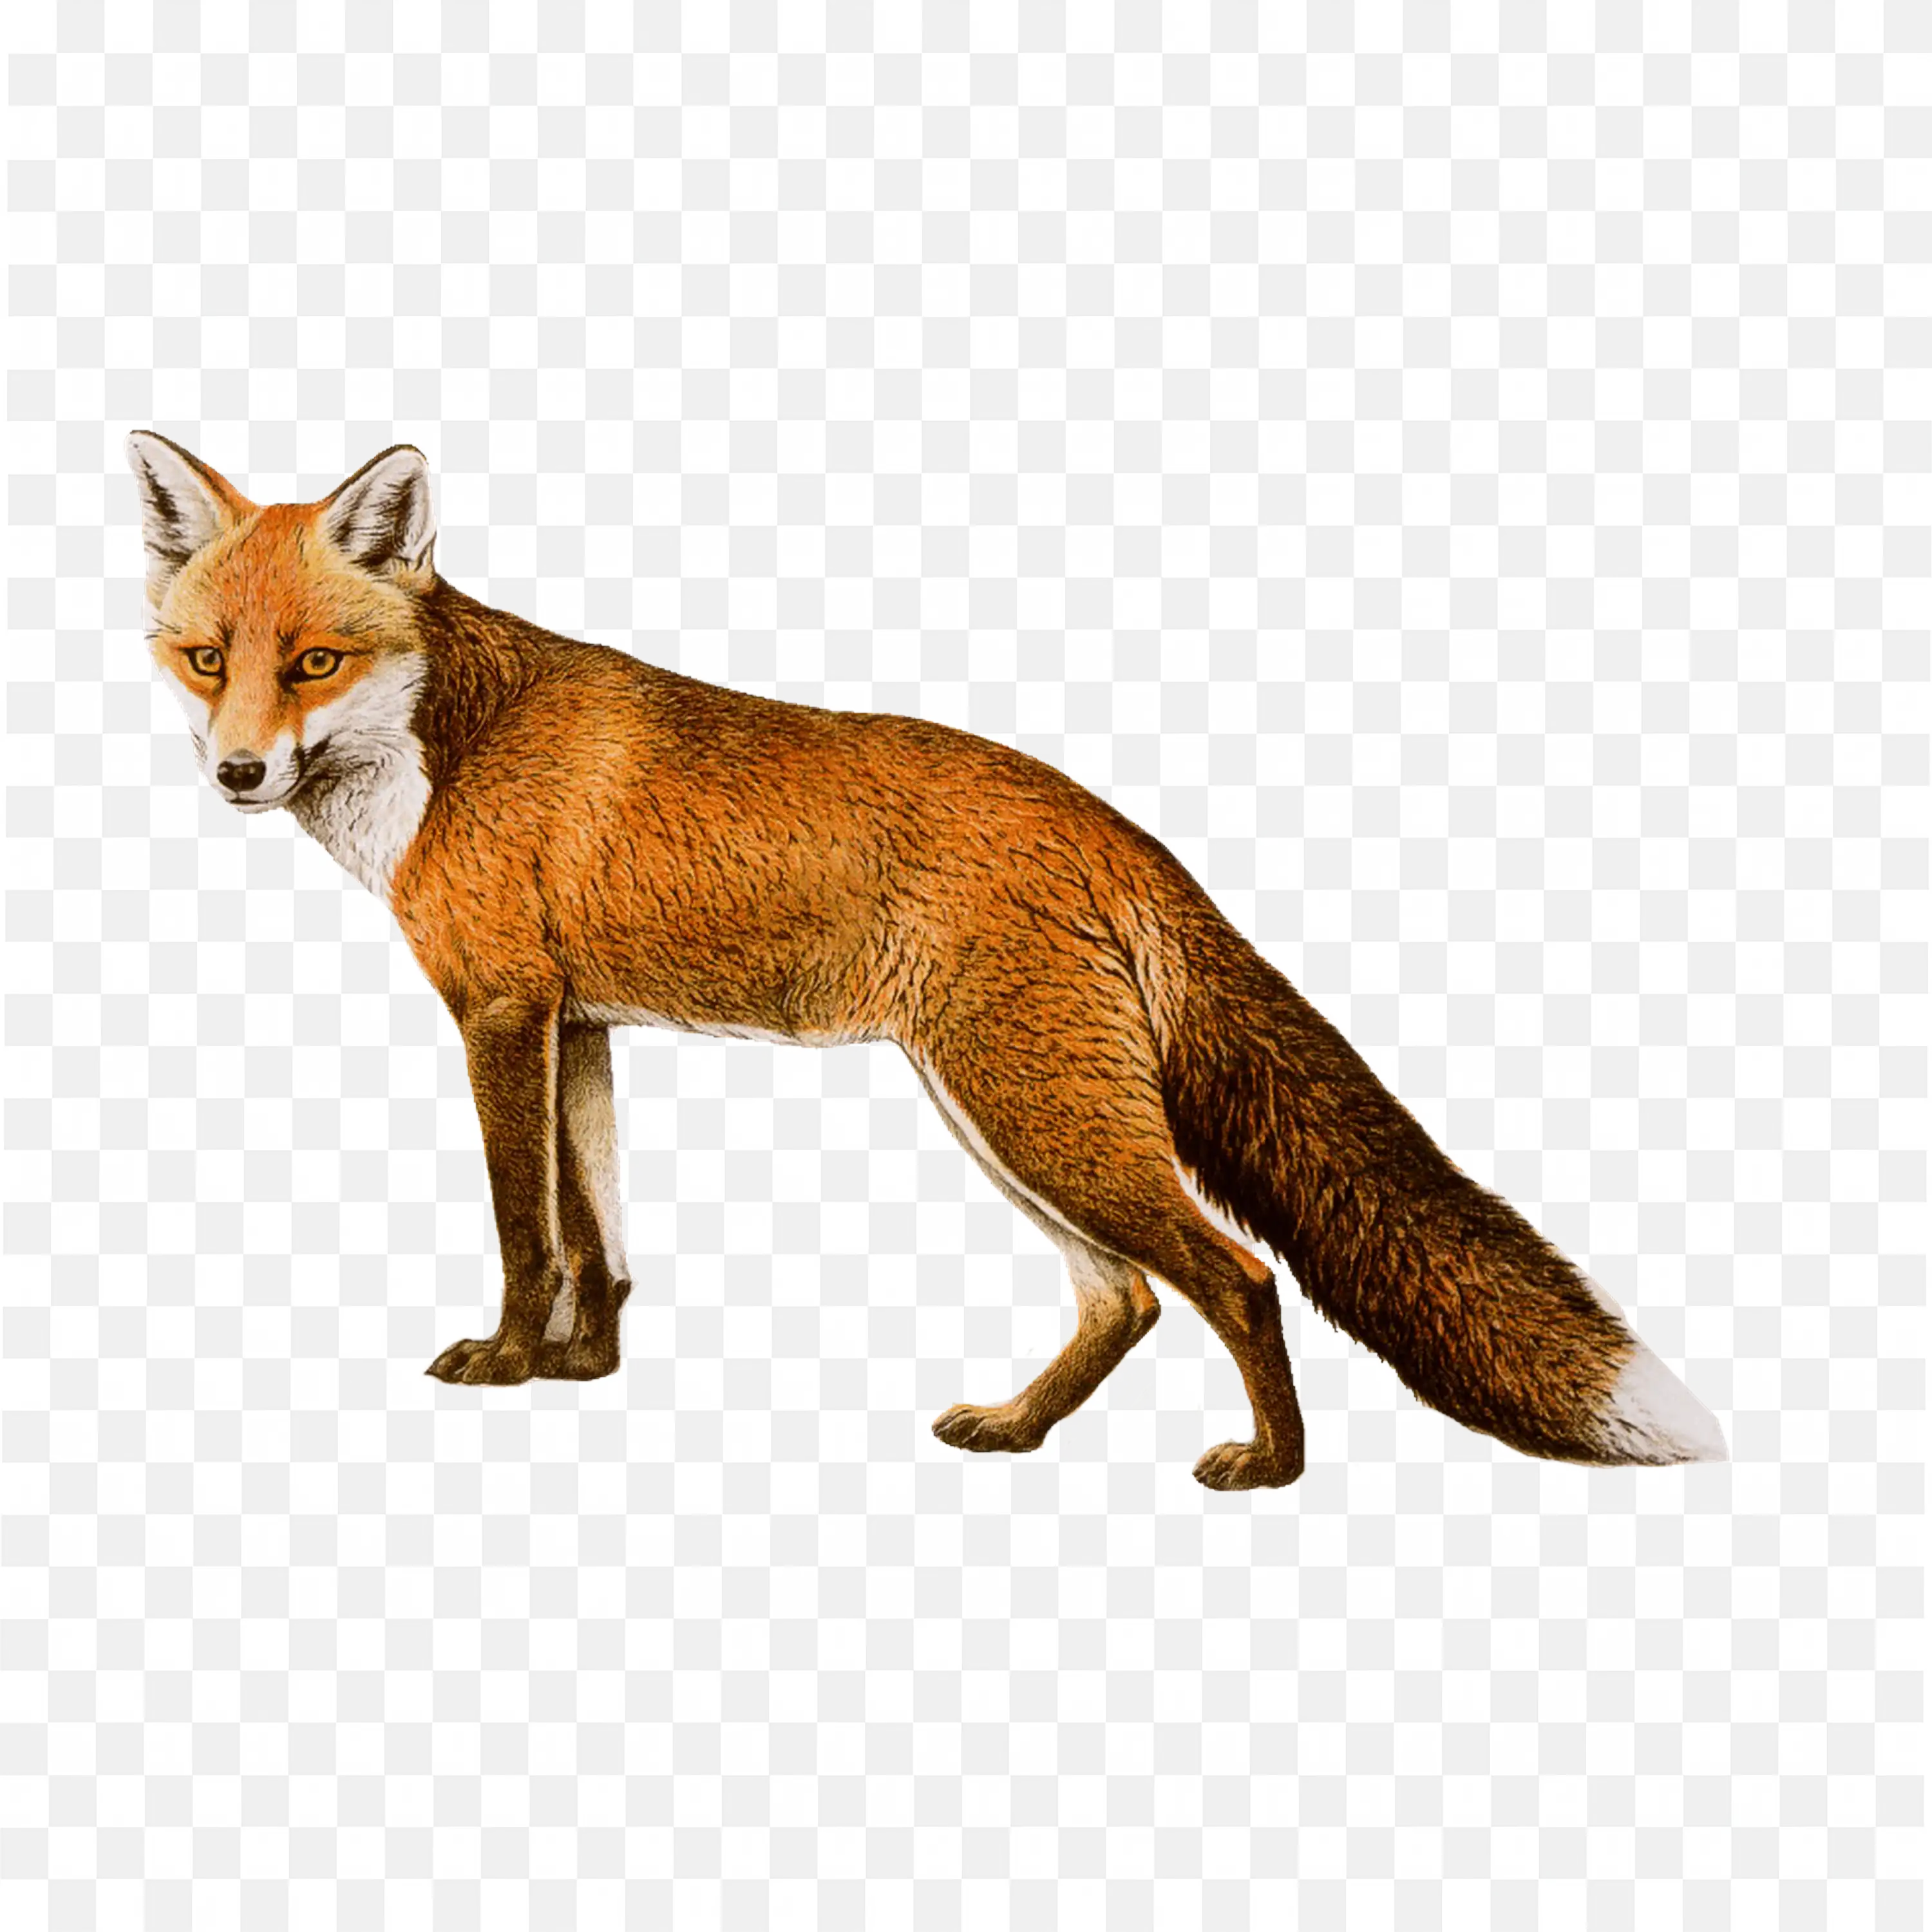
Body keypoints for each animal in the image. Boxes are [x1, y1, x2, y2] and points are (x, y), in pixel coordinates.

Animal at [123, 430, 1729, 1489]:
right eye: (207, 660)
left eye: (314, 663)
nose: (238, 774)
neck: (442, 754)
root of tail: (1110, 827)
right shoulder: (578, 1025)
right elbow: (600, 1236)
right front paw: (588, 1371)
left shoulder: (501, 1012)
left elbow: (529, 1233)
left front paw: (512, 1367)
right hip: (1005, 1112)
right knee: (1129, 1298)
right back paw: (1019, 1431)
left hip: (1035, 1112)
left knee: (1237, 1276)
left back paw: (1270, 1469)